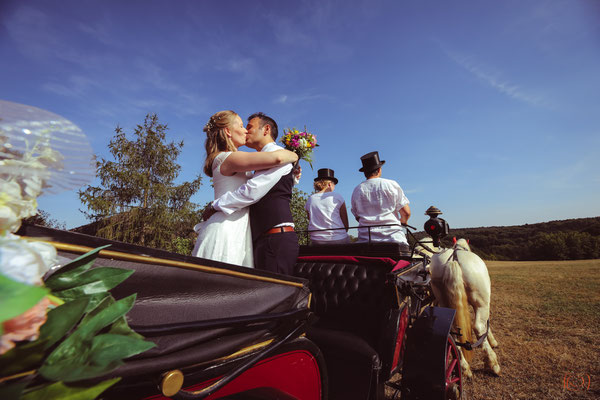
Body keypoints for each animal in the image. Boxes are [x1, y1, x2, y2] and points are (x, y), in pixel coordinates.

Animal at [414, 238, 500, 378]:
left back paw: (464, 367)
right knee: (478, 327)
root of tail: (453, 259)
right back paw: (493, 364)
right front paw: (493, 342)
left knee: (453, 330)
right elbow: (486, 325)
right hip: (482, 303)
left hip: (444, 299)